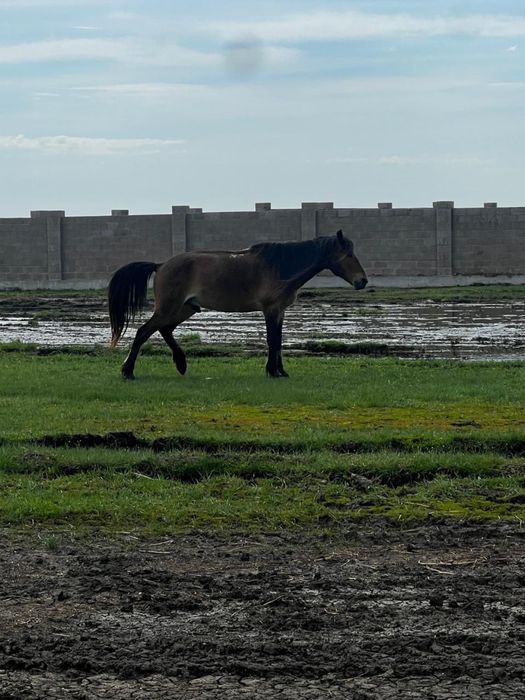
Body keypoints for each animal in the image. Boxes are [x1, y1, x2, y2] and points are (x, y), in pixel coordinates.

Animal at [108, 229, 367, 379]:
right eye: (349, 255)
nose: (362, 281)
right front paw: (272, 371)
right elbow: (273, 340)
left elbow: (279, 341)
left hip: (185, 308)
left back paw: (181, 364)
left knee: (164, 330)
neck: (281, 266)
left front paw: (281, 370)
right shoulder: (270, 309)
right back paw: (128, 371)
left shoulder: (280, 311)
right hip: (169, 308)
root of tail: (160, 265)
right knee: (143, 332)